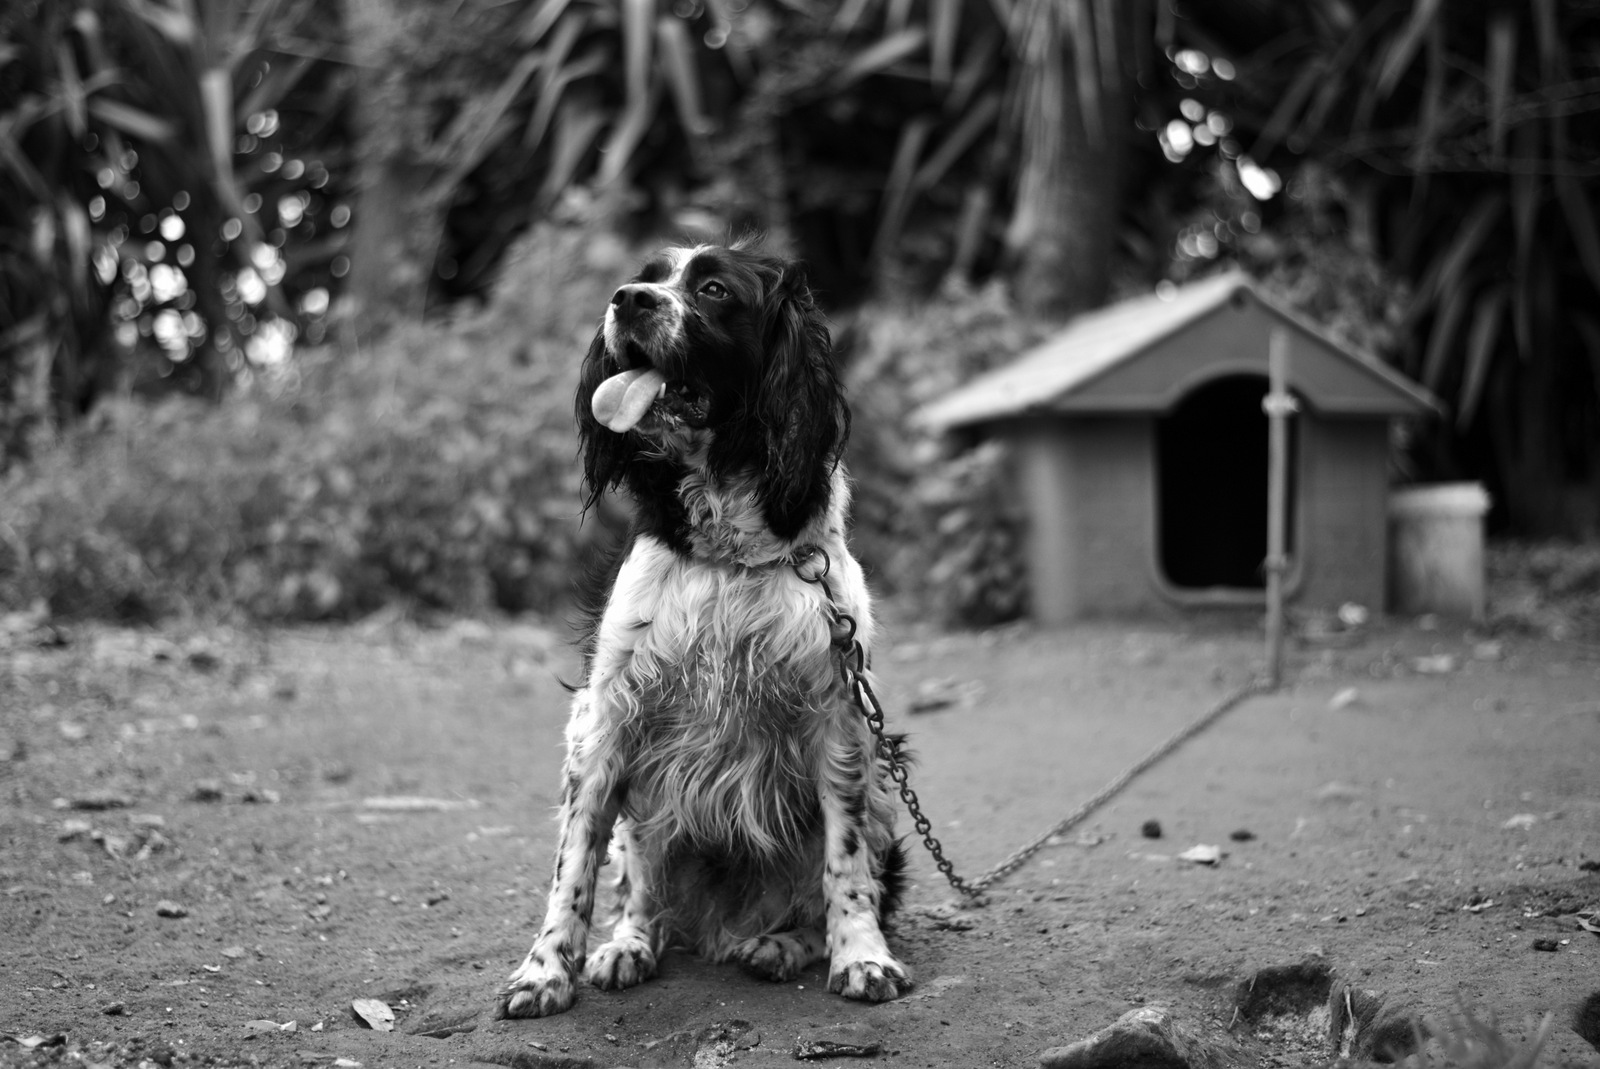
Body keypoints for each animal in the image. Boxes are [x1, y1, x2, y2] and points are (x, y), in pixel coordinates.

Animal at [492, 241, 908, 1017]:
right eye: (645, 276)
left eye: (714, 290)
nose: (627, 299)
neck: (725, 553)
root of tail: (719, 925)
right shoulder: (605, 718)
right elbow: (572, 866)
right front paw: (544, 970)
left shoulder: (838, 719)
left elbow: (845, 866)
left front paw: (863, 957)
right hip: (647, 816)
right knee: (644, 896)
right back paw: (628, 945)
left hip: (885, 802)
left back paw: (780, 945)